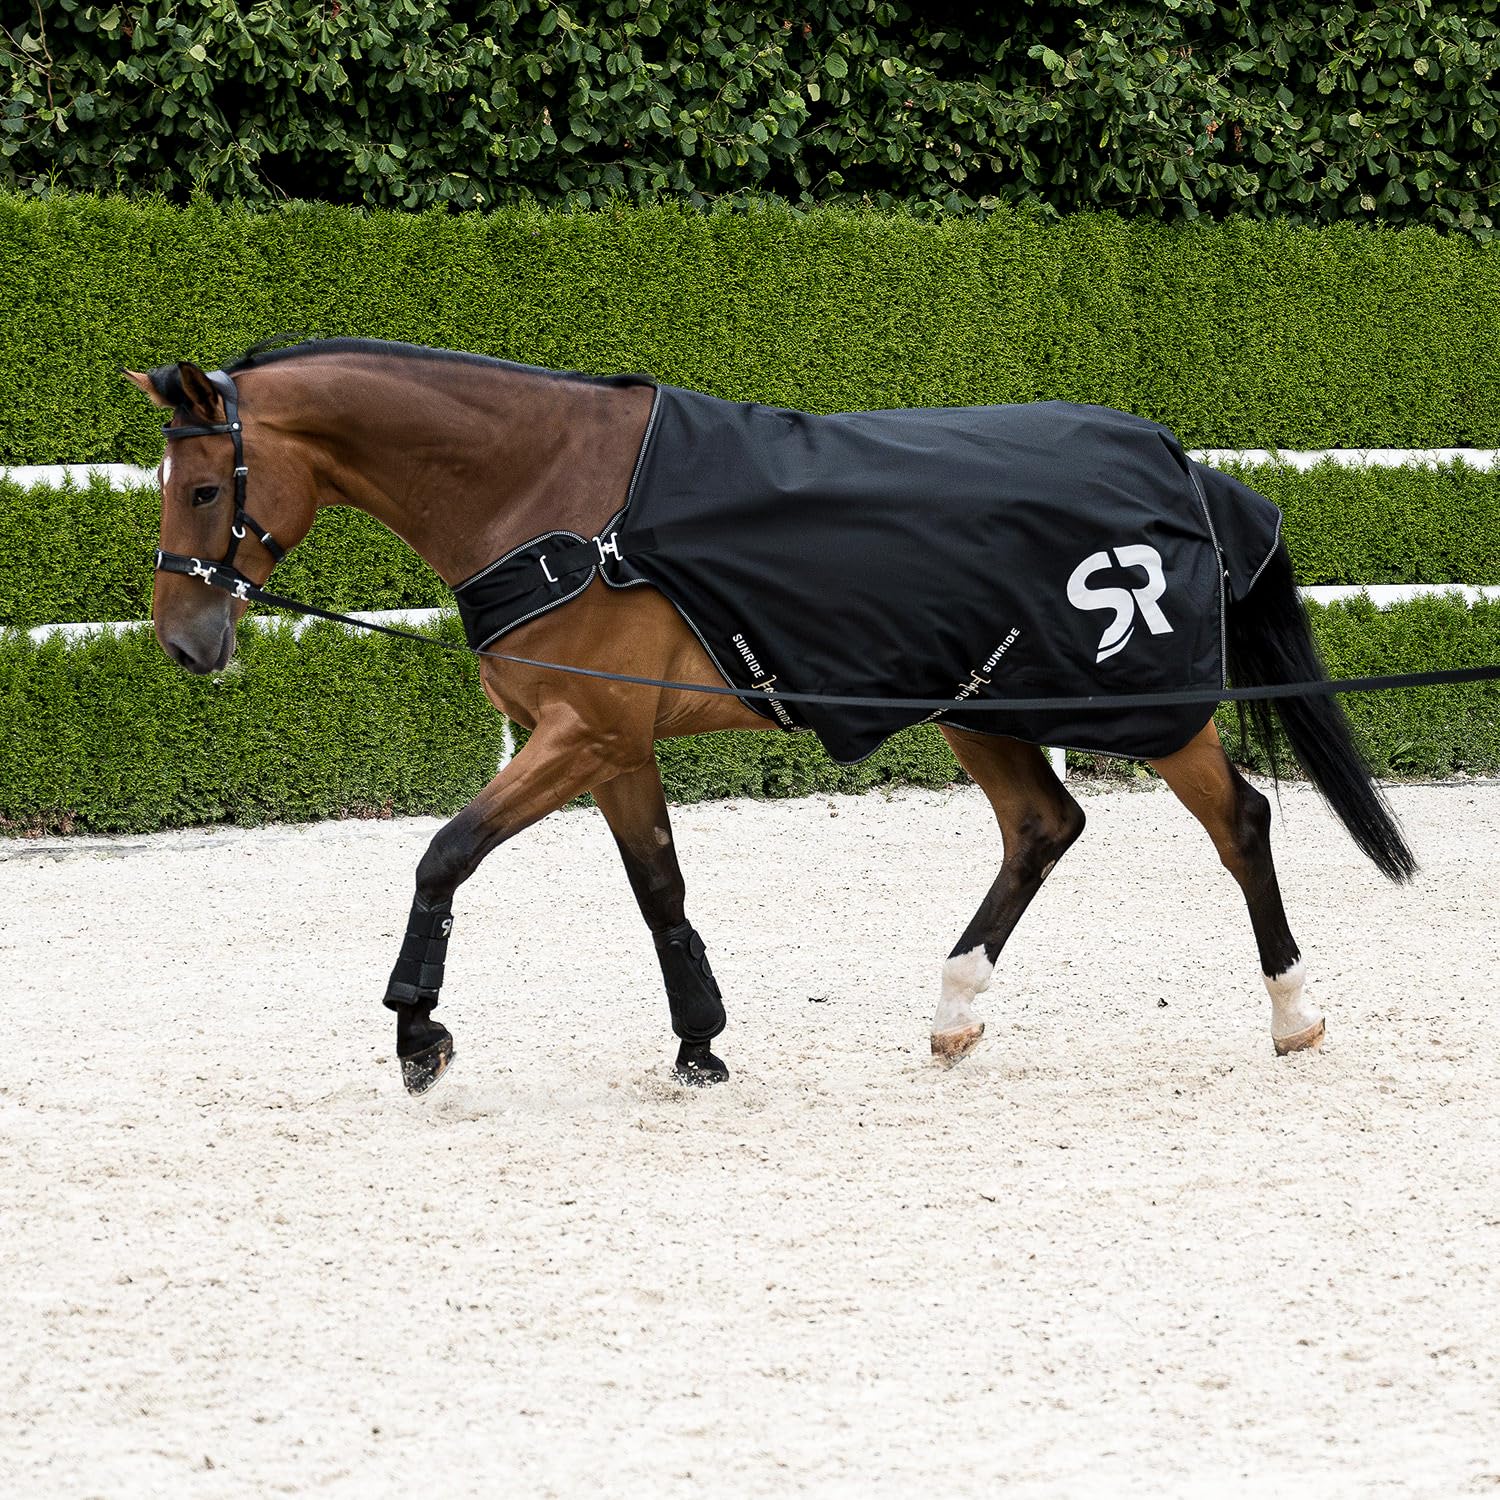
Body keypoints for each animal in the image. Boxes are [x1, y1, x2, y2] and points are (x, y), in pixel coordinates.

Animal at [126, 339, 1415, 1096]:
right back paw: (954, 1012)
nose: (187, 642)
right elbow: (660, 891)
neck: (554, 500)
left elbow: (445, 854)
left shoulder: (579, 737)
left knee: (1238, 821)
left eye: (207, 486)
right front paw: (700, 1041)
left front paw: (416, 1033)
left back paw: (1294, 1014)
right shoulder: (612, 748)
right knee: (1043, 827)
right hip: (979, 704)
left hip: (1143, 706)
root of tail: (1185, 466)